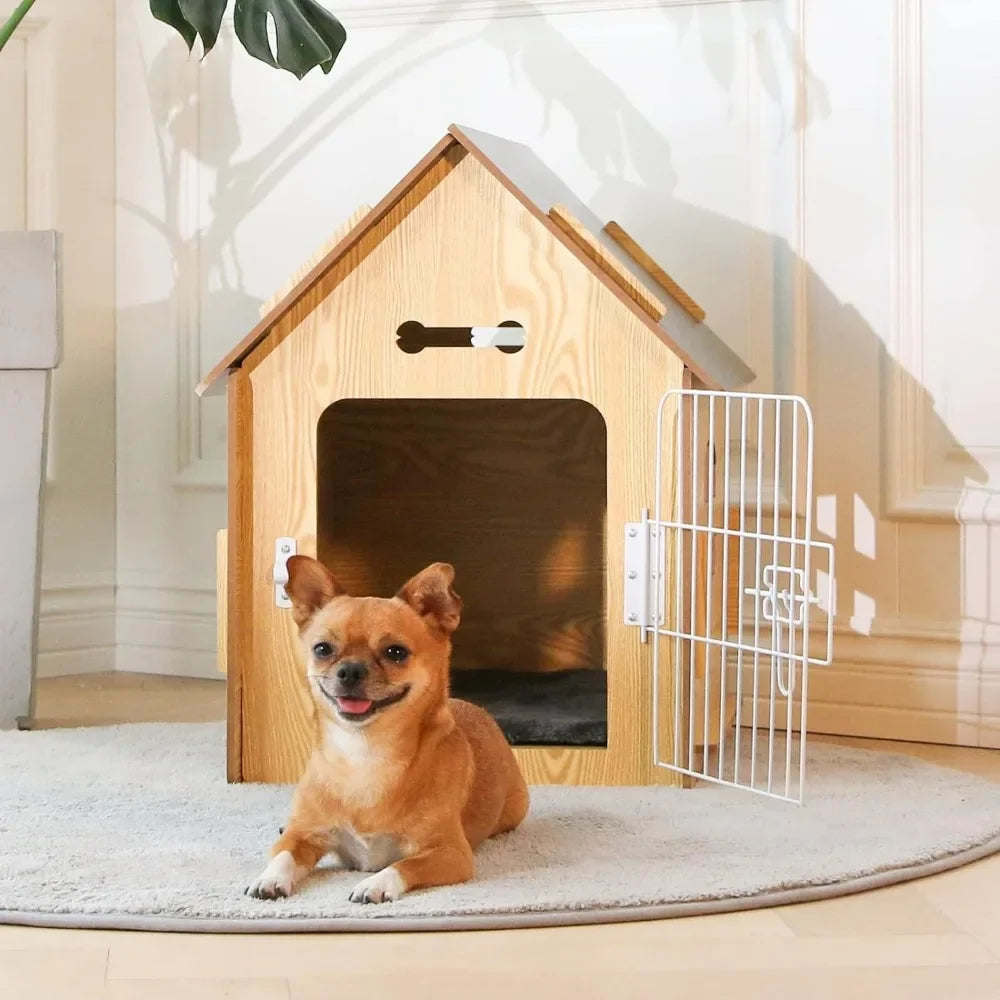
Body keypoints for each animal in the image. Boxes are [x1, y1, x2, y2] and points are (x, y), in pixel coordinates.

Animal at [247, 560, 532, 904]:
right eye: (322, 649)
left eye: (396, 652)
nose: (350, 670)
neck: (364, 753)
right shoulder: (303, 835)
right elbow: (283, 855)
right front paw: (270, 878)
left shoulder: (451, 853)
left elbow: (405, 865)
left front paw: (375, 884)